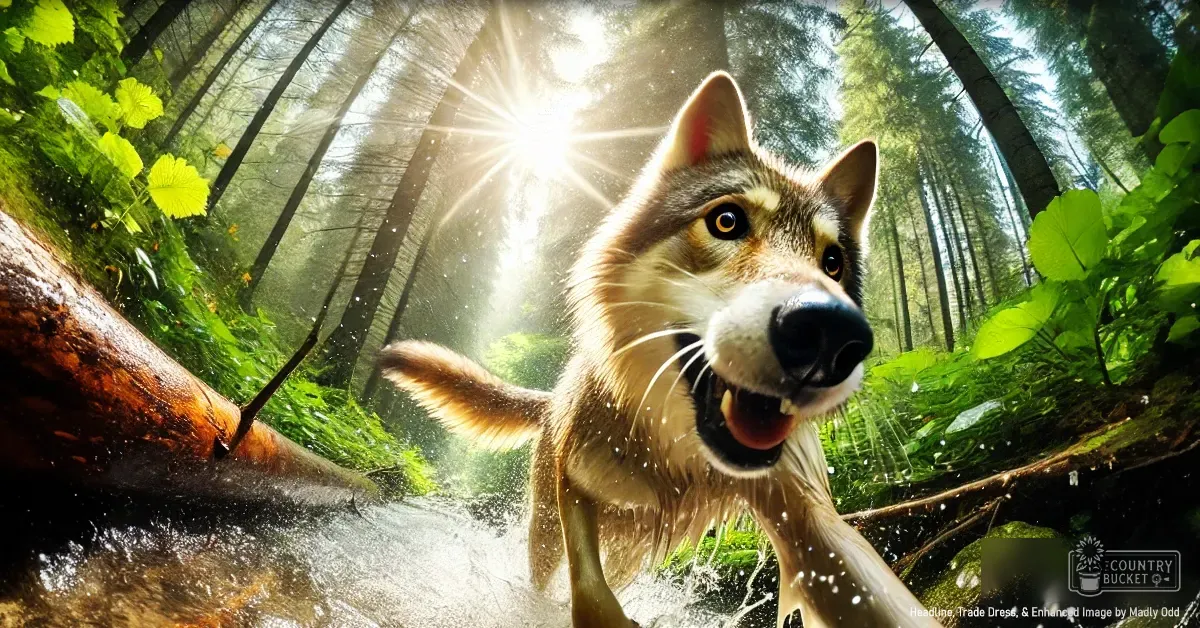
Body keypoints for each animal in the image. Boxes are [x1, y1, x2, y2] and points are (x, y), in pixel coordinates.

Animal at [380, 72, 937, 627]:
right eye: (727, 221)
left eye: (833, 262)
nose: (830, 333)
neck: (677, 458)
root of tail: (553, 395)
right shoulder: (574, 479)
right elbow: (587, 585)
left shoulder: (803, 511)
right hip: (550, 531)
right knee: (545, 578)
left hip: (634, 548)